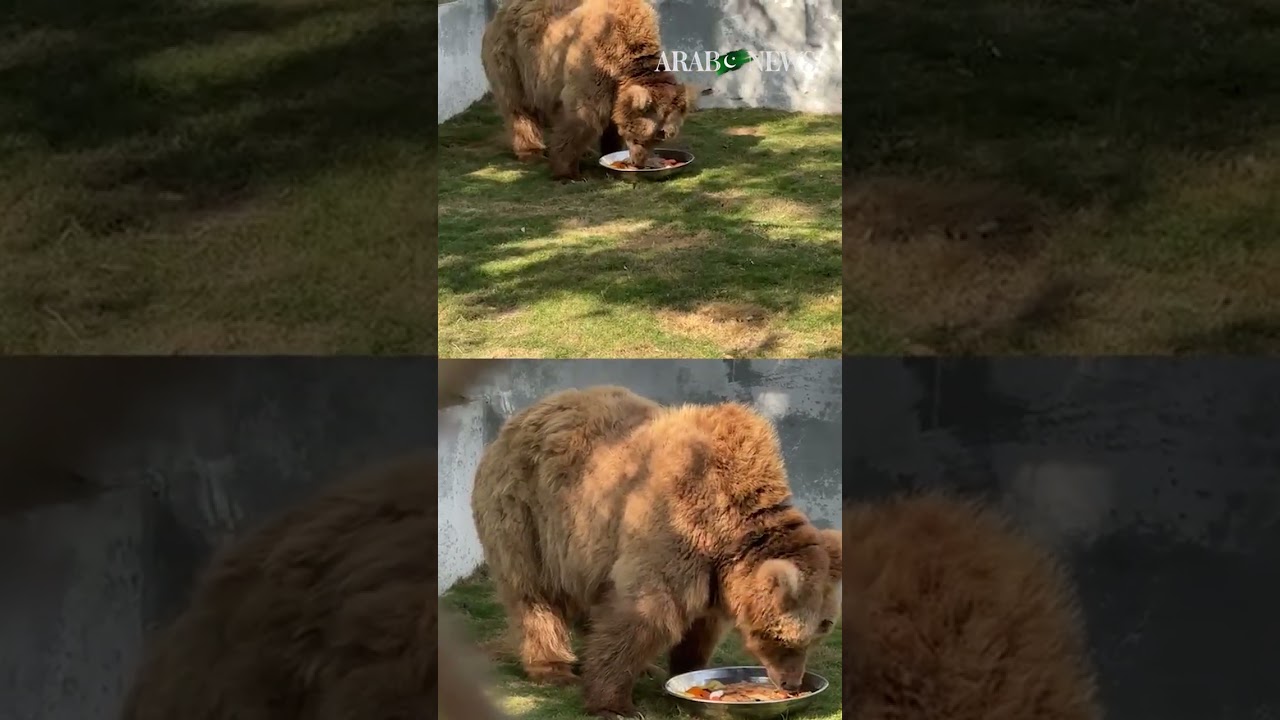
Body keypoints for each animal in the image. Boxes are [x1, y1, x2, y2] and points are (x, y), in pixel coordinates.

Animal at [470, 385, 842, 719]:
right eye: (783, 636)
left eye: (823, 628)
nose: (792, 683)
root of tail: (518, 418)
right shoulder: (673, 525)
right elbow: (646, 613)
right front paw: (613, 705)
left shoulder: (713, 569)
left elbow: (701, 624)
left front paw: (685, 667)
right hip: (529, 516)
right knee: (533, 594)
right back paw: (552, 668)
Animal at [480, 0, 704, 181]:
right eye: (649, 134)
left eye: (662, 136)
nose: (638, 162)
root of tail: (501, 11)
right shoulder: (593, 61)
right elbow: (584, 116)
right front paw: (567, 171)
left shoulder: (614, 86)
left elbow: (611, 120)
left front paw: (610, 148)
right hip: (514, 60)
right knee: (518, 107)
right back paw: (531, 151)